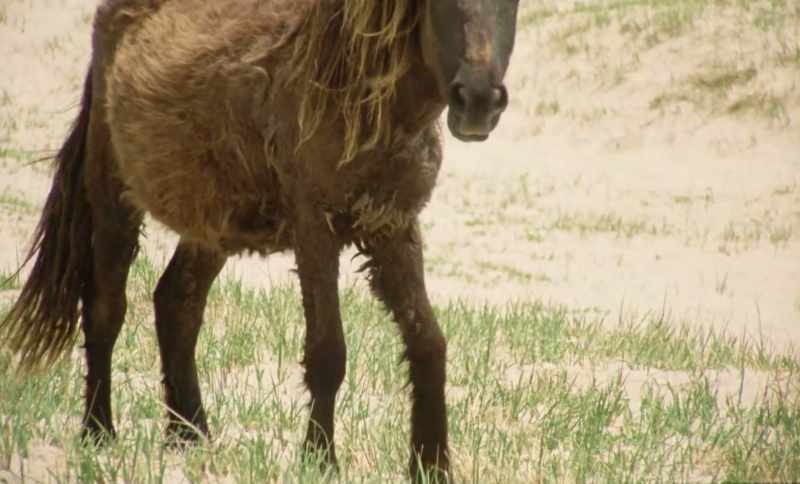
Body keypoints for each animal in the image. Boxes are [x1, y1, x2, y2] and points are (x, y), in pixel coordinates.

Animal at [0, 0, 520, 480]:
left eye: (511, 4)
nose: (478, 101)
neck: (361, 96)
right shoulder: (316, 232)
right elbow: (328, 353)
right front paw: (319, 461)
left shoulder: (393, 229)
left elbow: (429, 344)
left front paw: (432, 465)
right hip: (114, 200)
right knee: (105, 310)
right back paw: (98, 433)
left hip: (211, 225)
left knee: (177, 303)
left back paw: (190, 436)